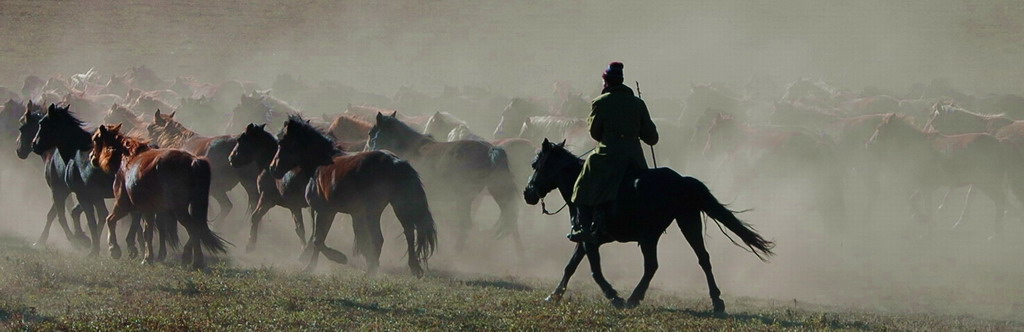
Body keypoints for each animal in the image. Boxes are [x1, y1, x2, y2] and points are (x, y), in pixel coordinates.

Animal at [91, 124, 225, 266]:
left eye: (95, 139)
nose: (91, 157)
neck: (128, 158)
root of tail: (193, 161)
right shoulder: (151, 209)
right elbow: (153, 230)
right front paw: (152, 255)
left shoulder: (124, 205)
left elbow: (112, 220)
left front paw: (116, 249)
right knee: (197, 227)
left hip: (179, 210)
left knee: (194, 228)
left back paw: (196, 261)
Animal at [268, 115, 436, 276]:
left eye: (281, 143)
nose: (272, 168)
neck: (319, 166)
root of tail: (397, 162)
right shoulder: (331, 212)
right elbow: (321, 238)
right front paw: (312, 265)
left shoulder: (324, 211)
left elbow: (318, 239)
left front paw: (334, 259)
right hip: (396, 206)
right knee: (406, 233)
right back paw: (407, 268)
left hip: (375, 210)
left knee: (380, 238)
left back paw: (372, 271)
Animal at [370, 111, 524, 252]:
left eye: (372, 134)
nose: (371, 151)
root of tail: (489, 149)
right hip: (497, 190)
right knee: (512, 224)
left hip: (464, 197)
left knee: (466, 225)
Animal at [524, 138, 770, 313]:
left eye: (535, 164)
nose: (528, 193)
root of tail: (682, 180)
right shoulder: (585, 240)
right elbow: (571, 266)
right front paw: (555, 295)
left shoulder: (589, 238)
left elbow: (595, 270)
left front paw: (614, 296)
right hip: (688, 222)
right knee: (703, 258)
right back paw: (717, 301)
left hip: (649, 235)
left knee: (652, 265)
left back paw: (633, 298)